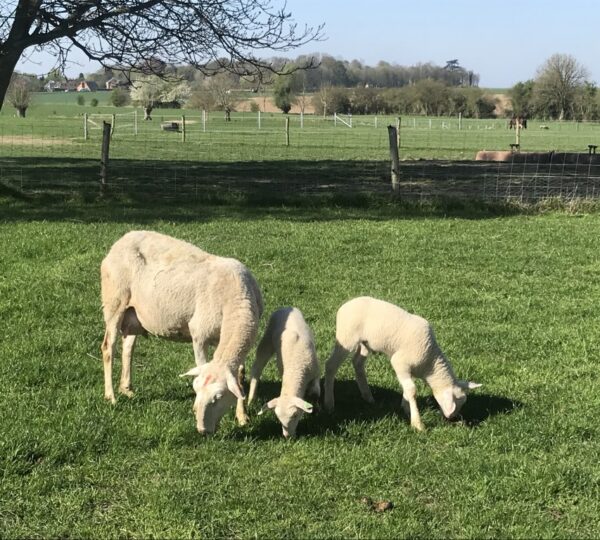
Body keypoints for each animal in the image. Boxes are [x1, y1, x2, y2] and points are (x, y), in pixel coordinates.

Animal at [100, 230, 262, 432]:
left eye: (218, 397)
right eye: (196, 390)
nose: (202, 430)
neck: (237, 302)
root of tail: (121, 240)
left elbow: (239, 378)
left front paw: (242, 417)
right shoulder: (199, 334)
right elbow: (201, 364)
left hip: (133, 314)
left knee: (128, 348)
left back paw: (126, 389)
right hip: (114, 301)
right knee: (108, 347)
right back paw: (111, 396)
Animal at [248, 308, 322, 438]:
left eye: (295, 415)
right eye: (278, 418)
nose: (288, 437)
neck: (295, 369)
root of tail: (285, 307)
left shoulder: (315, 371)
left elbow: (315, 391)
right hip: (267, 338)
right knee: (257, 368)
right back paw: (251, 398)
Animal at [326, 296, 480, 430]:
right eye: (457, 402)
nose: (452, 418)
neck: (430, 363)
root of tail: (345, 305)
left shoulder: (408, 369)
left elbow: (407, 389)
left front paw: (406, 408)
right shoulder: (400, 362)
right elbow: (412, 390)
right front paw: (417, 423)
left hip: (365, 343)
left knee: (357, 363)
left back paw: (368, 397)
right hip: (346, 337)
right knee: (331, 365)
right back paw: (329, 404)